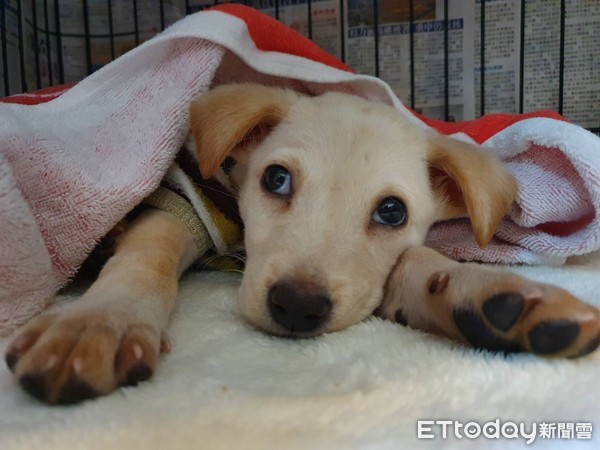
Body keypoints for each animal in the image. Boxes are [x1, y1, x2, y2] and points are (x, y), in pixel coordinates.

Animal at [4, 83, 600, 404]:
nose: (297, 305)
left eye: (391, 211)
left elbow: (416, 262)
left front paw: (495, 298)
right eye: (276, 179)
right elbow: (148, 254)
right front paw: (99, 321)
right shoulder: (186, 198)